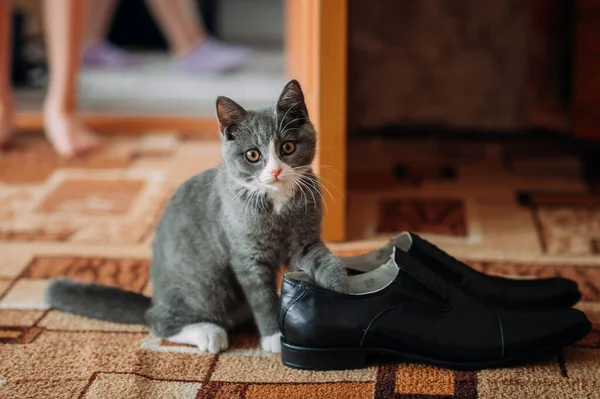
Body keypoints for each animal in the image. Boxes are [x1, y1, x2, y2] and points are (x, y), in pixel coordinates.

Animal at [45, 79, 346, 354]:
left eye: (288, 147)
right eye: (252, 155)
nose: (275, 171)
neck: (277, 201)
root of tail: (156, 298)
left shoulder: (304, 242)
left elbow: (325, 262)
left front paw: (342, 291)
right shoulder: (248, 256)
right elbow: (261, 297)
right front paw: (273, 336)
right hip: (206, 285)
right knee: (159, 320)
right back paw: (208, 333)